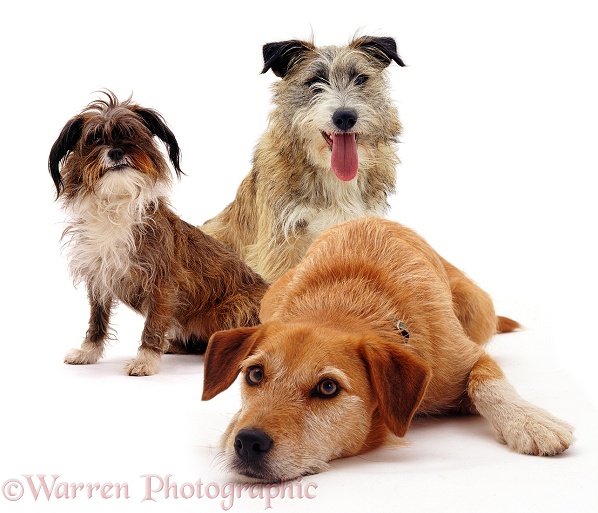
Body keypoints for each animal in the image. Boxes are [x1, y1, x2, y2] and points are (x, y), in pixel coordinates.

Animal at [49, 90, 270, 374]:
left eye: (131, 134)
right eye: (94, 139)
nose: (116, 151)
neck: (117, 204)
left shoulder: (162, 284)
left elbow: (153, 323)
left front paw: (145, 359)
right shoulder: (99, 279)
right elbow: (97, 319)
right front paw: (89, 352)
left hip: (233, 307)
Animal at [203, 216, 576, 480]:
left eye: (328, 387)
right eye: (254, 375)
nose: (248, 442)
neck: (343, 304)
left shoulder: (465, 358)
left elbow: (487, 382)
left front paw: (529, 420)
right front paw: (232, 424)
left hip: (478, 305)